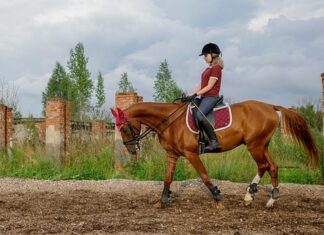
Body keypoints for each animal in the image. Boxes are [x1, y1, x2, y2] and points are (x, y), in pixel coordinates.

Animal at [110, 100, 318, 208]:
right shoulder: (172, 155)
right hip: (261, 145)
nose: (131, 149)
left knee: (264, 166)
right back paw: (268, 199)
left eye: (125, 128)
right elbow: (167, 178)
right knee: (271, 166)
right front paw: (162, 201)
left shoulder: (191, 154)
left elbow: (204, 176)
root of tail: (269, 106)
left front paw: (217, 197)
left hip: (255, 146)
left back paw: (253, 196)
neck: (170, 121)